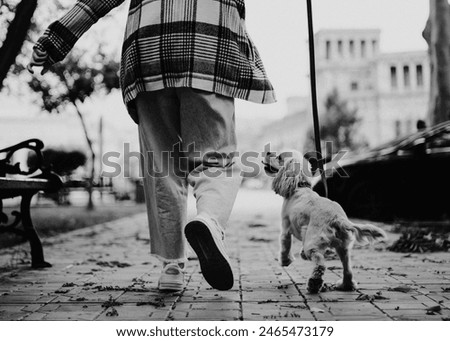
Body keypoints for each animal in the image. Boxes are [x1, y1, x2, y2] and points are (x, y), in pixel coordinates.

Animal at [264, 151, 386, 292]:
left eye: (279, 157)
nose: (268, 152)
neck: (299, 186)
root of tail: (337, 218)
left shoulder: (285, 228)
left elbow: (285, 247)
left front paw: (285, 261)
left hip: (312, 243)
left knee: (320, 262)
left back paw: (314, 283)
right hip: (343, 247)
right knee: (347, 269)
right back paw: (345, 285)